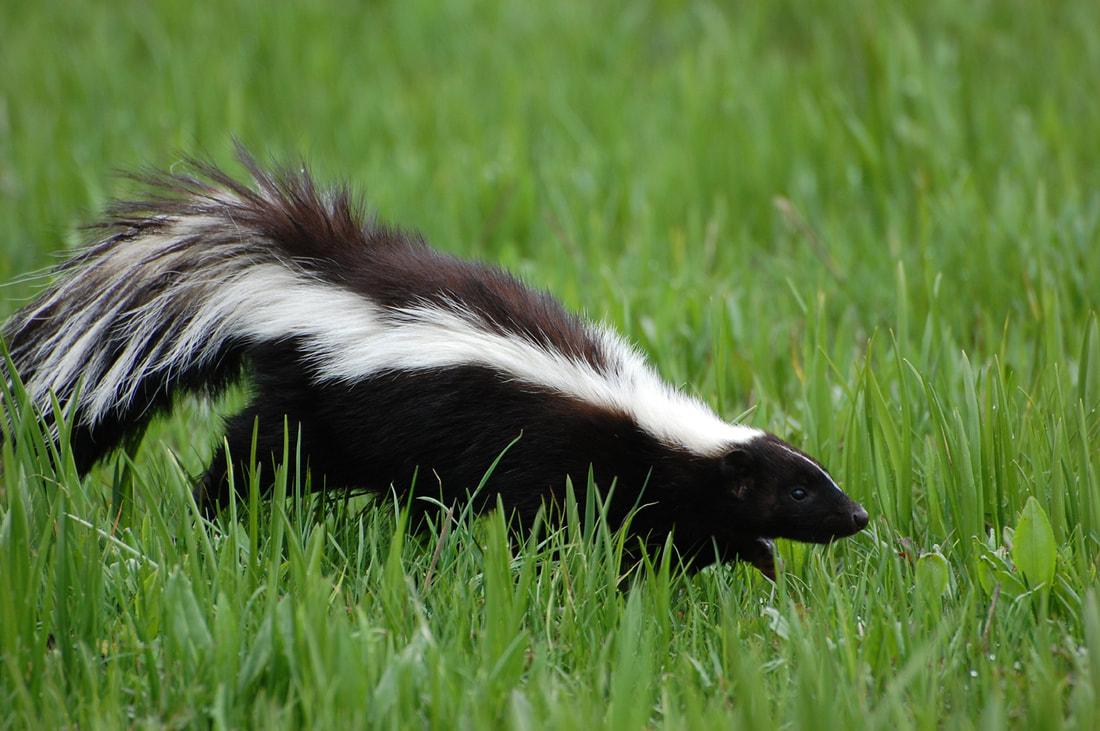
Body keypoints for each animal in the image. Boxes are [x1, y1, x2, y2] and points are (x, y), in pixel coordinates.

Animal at [4, 150, 871, 580]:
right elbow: (567, 525)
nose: (860, 515)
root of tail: (308, 276)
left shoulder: (661, 488)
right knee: (257, 451)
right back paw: (213, 512)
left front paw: (756, 562)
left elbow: (679, 532)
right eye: (802, 489)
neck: (655, 426)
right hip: (326, 406)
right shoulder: (565, 460)